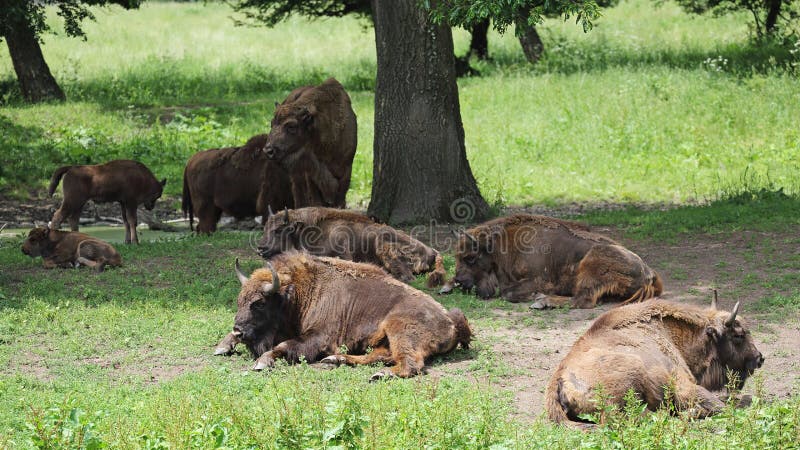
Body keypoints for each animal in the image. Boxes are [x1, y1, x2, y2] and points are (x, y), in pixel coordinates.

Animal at [216, 253, 472, 380]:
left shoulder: (319, 337)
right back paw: (335, 360)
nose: (239, 330)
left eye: (259, 303)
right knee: (380, 356)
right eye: (240, 300)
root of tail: (450, 321)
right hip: (385, 339)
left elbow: (284, 345)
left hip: (398, 328)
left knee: (410, 364)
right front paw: (223, 345)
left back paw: (380, 375)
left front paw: (262, 361)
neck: (298, 293)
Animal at [256, 207, 444, 288]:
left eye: (279, 230)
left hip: (383, 246)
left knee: (406, 277)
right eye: (265, 228)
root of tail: (432, 251)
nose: (260, 248)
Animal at [262, 78, 356, 208]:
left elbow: (340, 200)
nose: (268, 151)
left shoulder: (346, 170)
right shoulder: (311, 175)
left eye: (291, 126)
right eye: (272, 124)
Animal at [444, 215, 664, 310]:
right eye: (456, 256)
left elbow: (508, 293)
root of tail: (649, 273)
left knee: (581, 300)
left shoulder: (540, 280)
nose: (460, 280)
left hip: (591, 265)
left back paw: (542, 301)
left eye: (471, 257)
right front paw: (447, 286)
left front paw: (536, 296)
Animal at [548, 298, 764, 424]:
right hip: (633, 372)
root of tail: (558, 380)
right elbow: (720, 406)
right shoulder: (684, 386)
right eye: (738, 335)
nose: (759, 358)